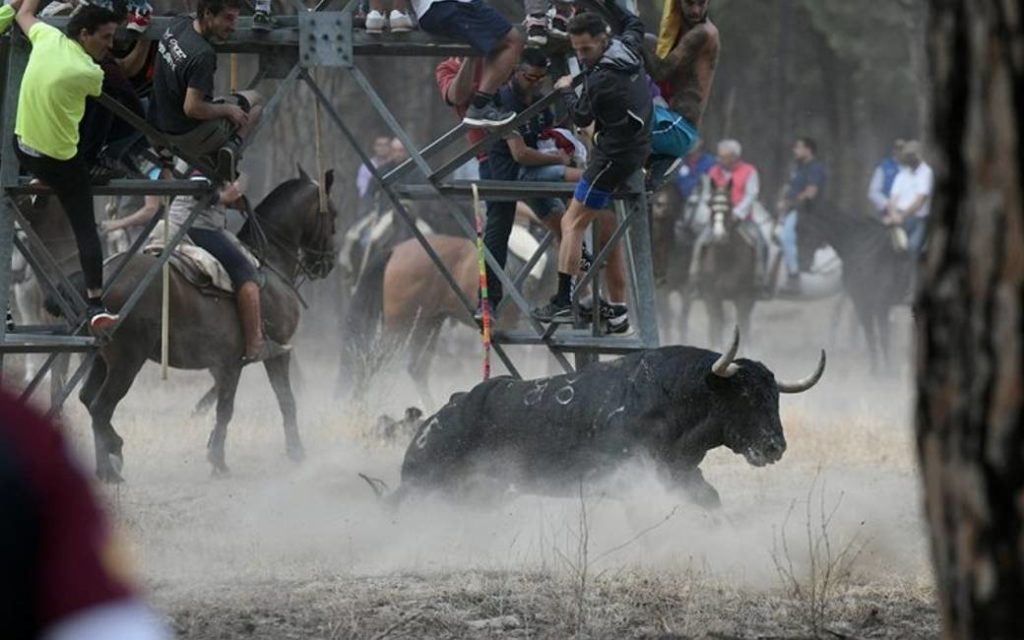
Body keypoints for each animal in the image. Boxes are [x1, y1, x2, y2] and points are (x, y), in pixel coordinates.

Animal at [77, 166, 339, 481]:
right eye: (333, 214)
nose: (328, 263)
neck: (270, 264)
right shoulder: (272, 355)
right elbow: (277, 401)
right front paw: (290, 453)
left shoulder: (227, 365)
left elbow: (225, 406)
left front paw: (215, 451)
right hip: (126, 363)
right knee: (100, 408)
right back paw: (110, 467)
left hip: (102, 360)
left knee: (87, 400)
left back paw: (110, 457)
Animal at [387, 331, 827, 505]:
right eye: (746, 395)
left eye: (775, 397)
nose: (774, 446)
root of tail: (435, 421)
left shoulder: (682, 474)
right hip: (426, 487)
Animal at [692, 180, 765, 350]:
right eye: (710, 205)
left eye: (730, 205)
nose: (719, 236)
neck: (725, 259)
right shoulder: (711, 295)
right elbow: (716, 323)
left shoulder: (743, 296)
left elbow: (742, 322)